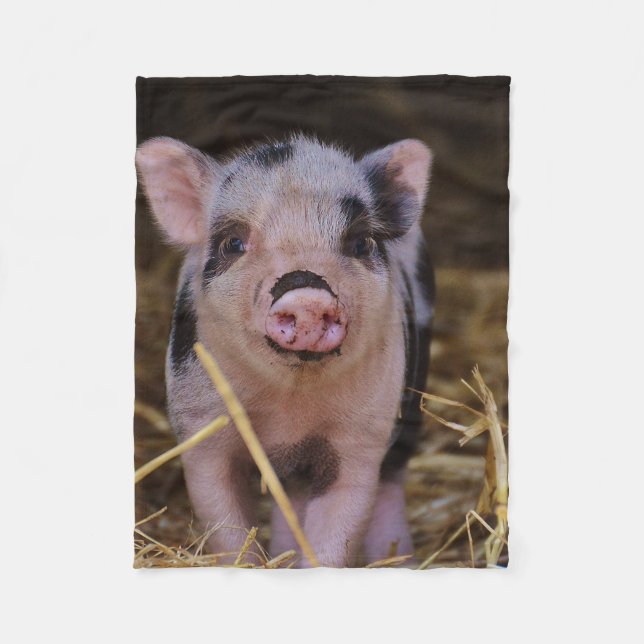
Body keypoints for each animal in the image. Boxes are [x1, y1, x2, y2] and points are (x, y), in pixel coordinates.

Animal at [135, 134, 434, 567]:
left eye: (361, 242)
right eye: (233, 243)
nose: (307, 293)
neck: (289, 410)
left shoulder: (361, 439)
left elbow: (337, 531)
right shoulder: (200, 429)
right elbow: (225, 525)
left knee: (391, 482)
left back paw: (400, 560)